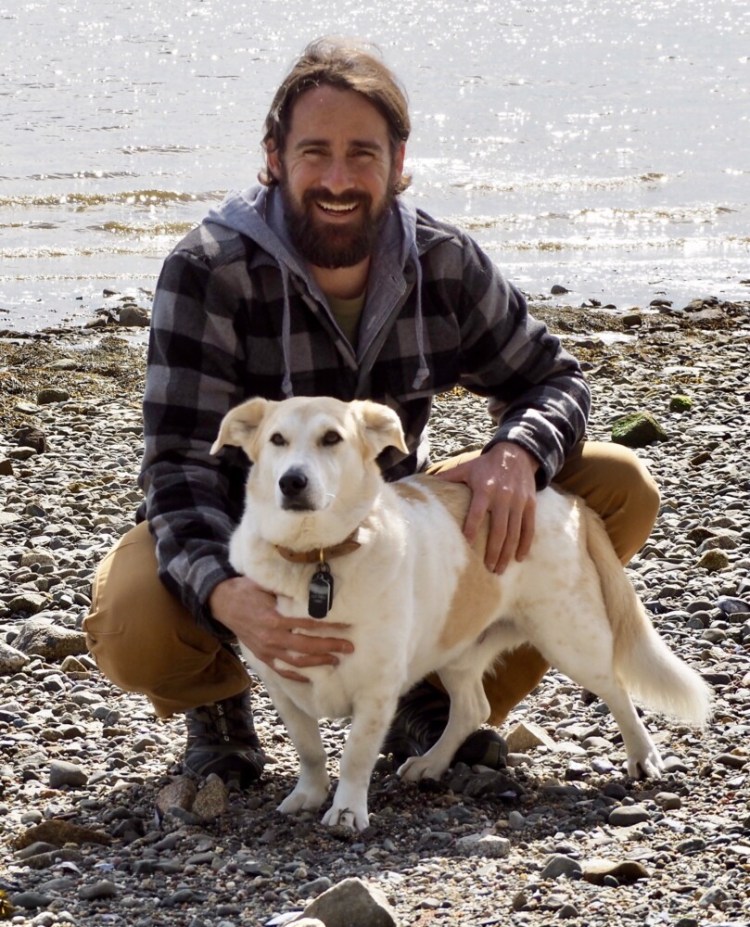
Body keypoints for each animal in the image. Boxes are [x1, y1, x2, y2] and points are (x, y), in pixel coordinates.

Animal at [210, 396, 712, 832]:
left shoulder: (376, 691)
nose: (291, 482)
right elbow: (311, 751)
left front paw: (348, 811)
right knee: (473, 708)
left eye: (331, 438)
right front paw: (308, 796)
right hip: (456, 652)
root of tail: (566, 499)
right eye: (276, 440)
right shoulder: (283, 686)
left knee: (618, 690)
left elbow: (355, 755)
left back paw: (643, 756)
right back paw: (432, 762)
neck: (316, 558)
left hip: (570, 639)